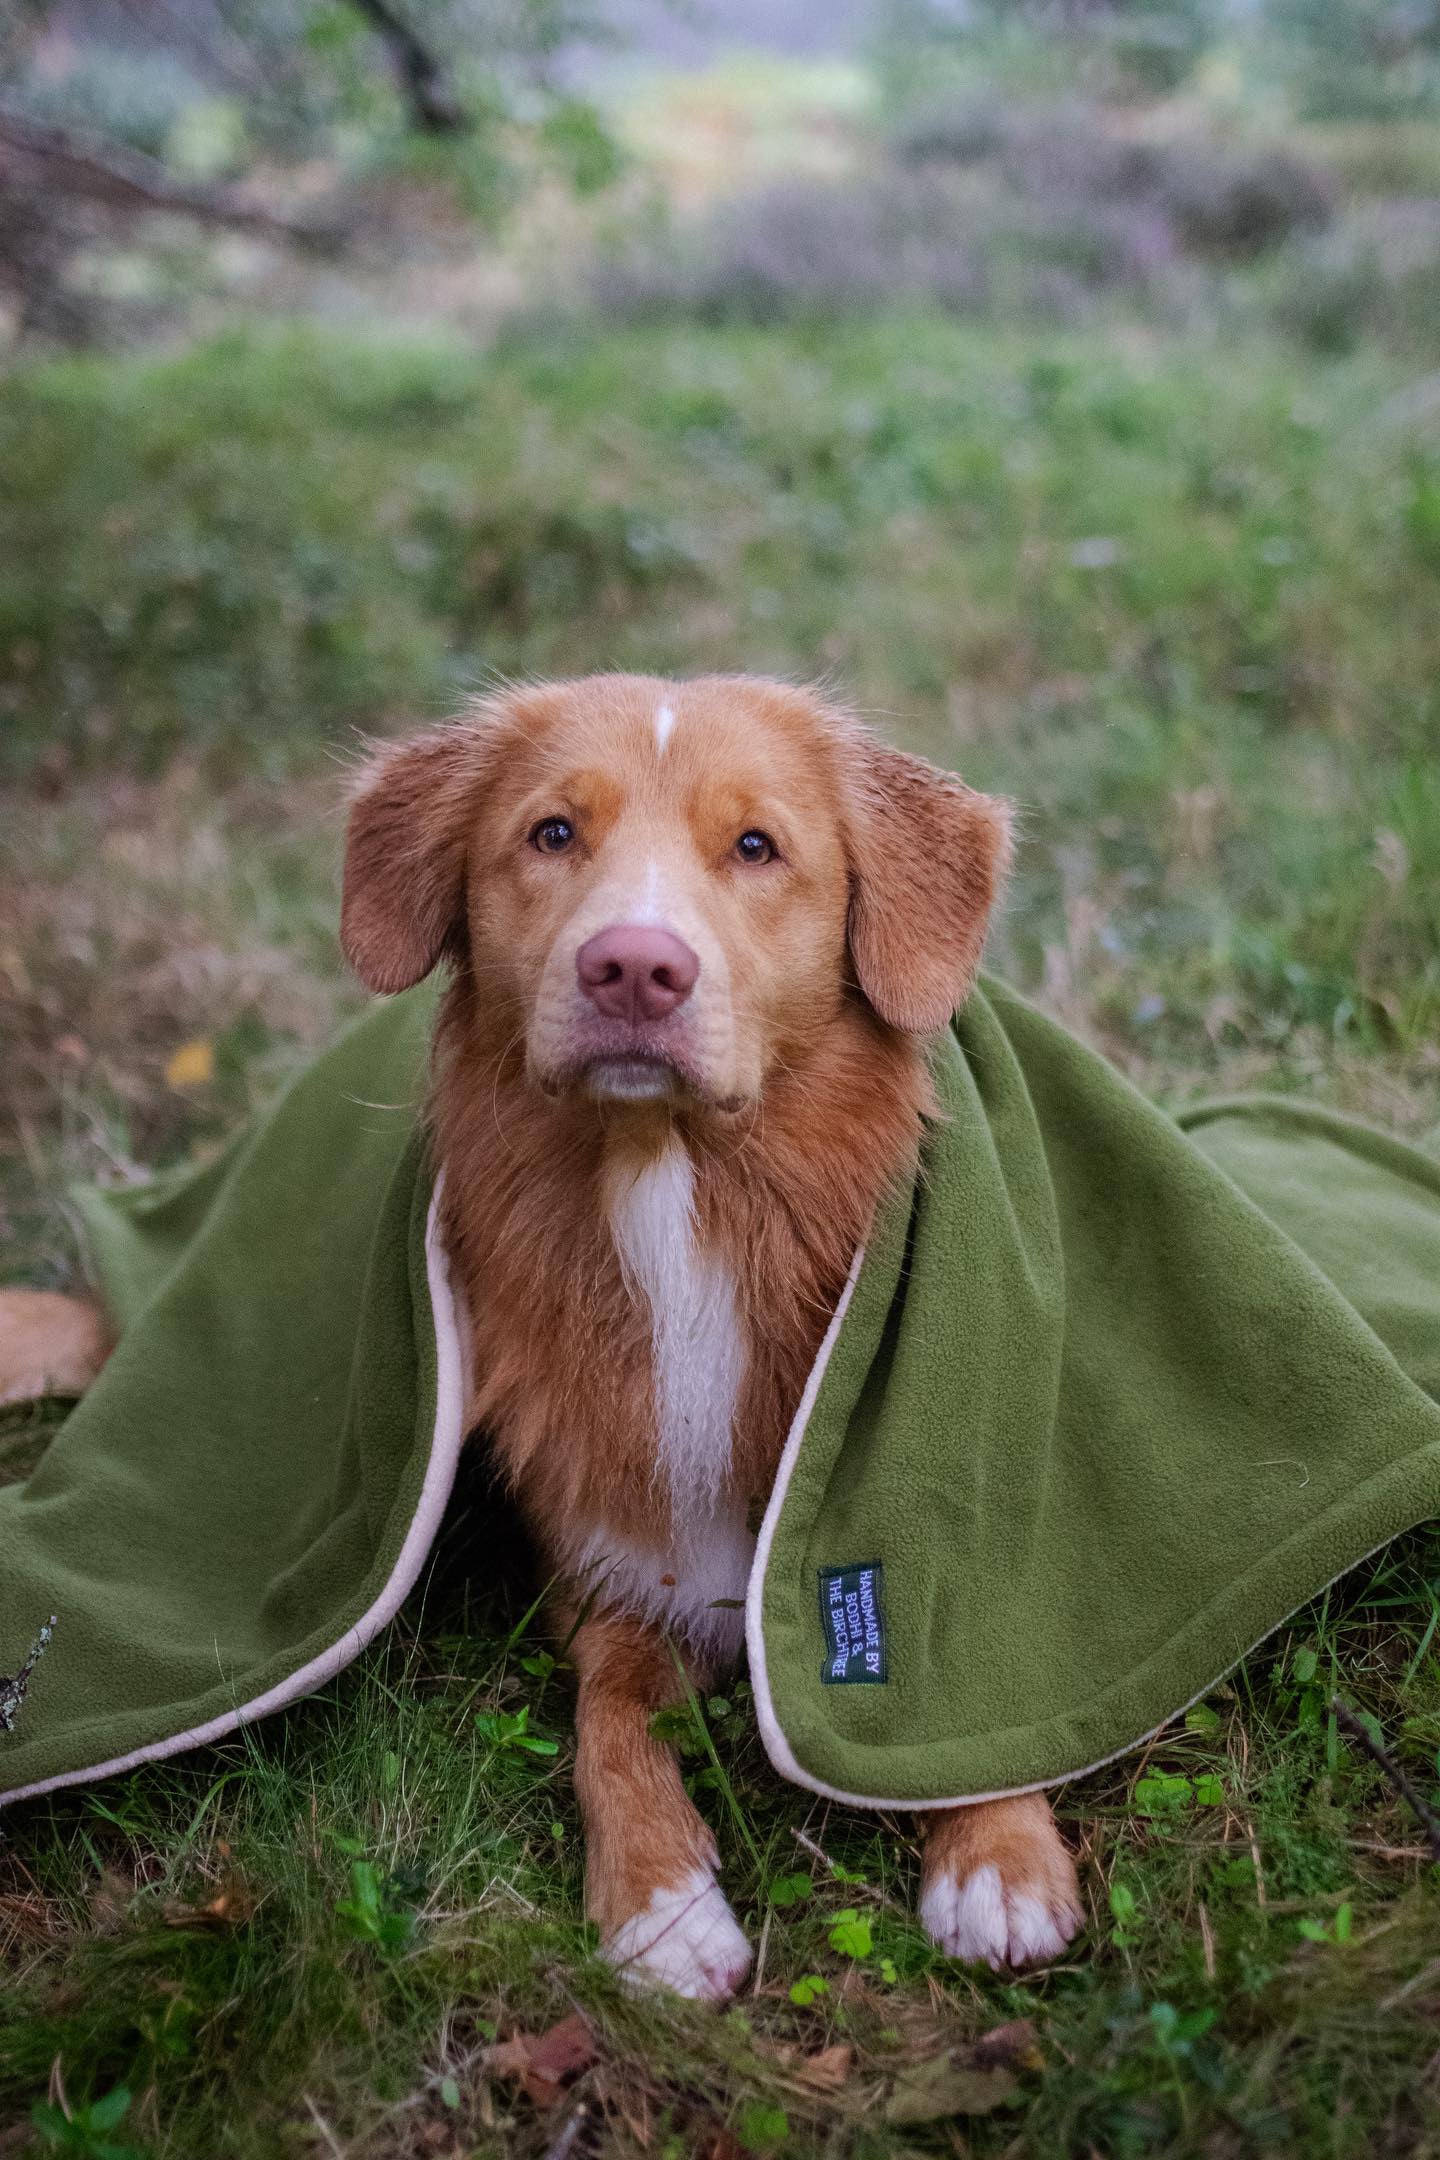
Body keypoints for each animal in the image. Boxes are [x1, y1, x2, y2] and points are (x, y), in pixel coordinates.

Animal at [0, 678, 1079, 2004]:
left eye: (757, 847)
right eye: (553, 833)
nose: (634, 967)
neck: (666, 1186)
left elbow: (977, 1687)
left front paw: (999, 1856)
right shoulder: (608, 1577)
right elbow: (605, 1728)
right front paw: (661, 1904)